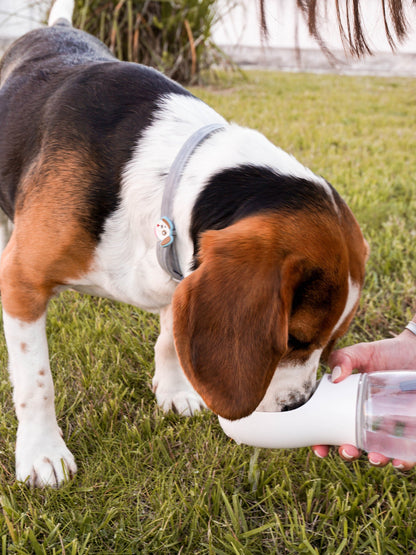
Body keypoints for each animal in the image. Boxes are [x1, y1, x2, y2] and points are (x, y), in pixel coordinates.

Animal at [0, 0, 366, 486]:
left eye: (332, 341)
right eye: (292, 339)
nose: (298, 406)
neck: (169, 174)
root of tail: (56, 28)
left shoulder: (182, 275)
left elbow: (171, 341)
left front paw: (173, 391)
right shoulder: (23, 281)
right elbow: (36, 380)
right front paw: (42, 453)